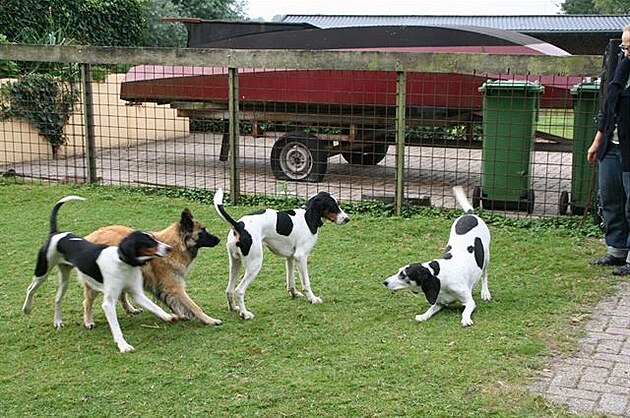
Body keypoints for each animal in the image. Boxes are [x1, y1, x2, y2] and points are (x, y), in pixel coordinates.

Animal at [23, 196, 177, 352]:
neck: (122, 263)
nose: (169, 248)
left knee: (57, 298)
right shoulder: (108, 303)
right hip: (42, 272)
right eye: (149, 242)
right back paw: (27, 308)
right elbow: (116, 327)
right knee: (30, 289)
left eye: (154, 238)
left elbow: (155, 307)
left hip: (64, 279)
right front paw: (123, 345)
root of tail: (55, 234)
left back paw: (58, 321)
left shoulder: (137, 294)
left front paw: (169, 317)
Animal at [82, 209, 223, 326]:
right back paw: (88, 322)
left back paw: (131, 309)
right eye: (202, 231)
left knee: (121, 294)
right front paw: (209, 320)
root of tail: (89, 237)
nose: (219, 239)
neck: (174, 247)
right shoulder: (174, 286)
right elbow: (194, 306)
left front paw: (180, 315)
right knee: (87, 302)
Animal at [212, 188, 350, 318]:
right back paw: (245, 314)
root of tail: (239, 225)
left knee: (229, 290)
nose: (347, 219)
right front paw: (312, 298)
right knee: (239, 291)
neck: (307, 217)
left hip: (235, 263)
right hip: (254, 265)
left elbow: (291, 281)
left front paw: (294, 294)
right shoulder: (301, 257)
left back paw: (234, 308)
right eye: (333, 205)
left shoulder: (290, 257)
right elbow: (306, 282)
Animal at [382, 186, 492, 326]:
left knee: (484, 275)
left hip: (486, 258)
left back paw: (485, 293)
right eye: (398, 271)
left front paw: (466, 318)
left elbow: (466, 310)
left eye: (403, 275)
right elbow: (430, 310)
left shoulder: (470, 302)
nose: (385, 282)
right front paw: (423, 315)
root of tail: (469, 214)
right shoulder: (439, 302)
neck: (442, 276)